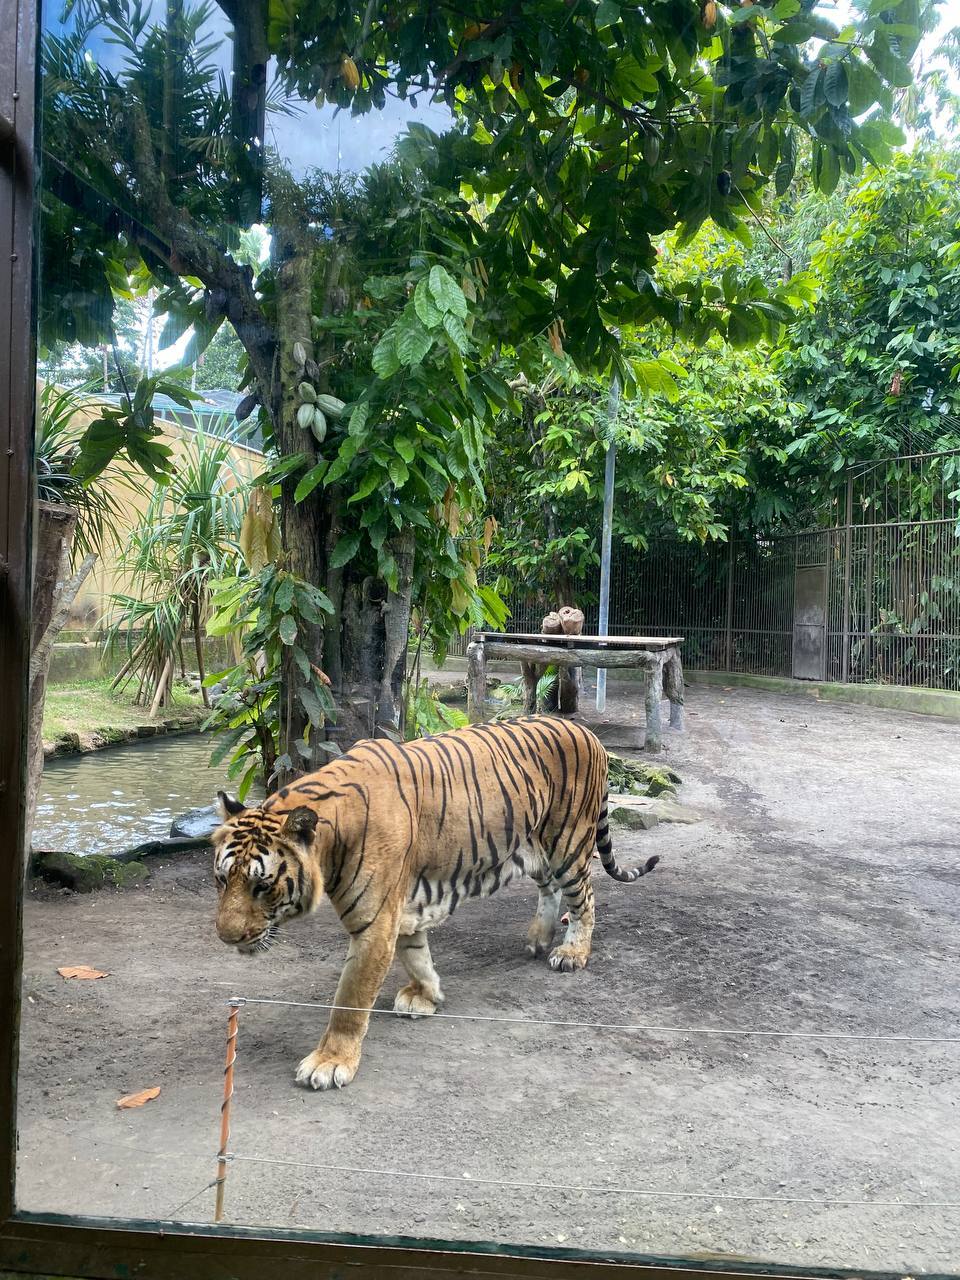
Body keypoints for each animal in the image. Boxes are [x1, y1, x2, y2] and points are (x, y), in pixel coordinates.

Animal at [209, 711, 660, 1090]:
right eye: (222, 879)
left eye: (262, 886)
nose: (226, 938)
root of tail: (588, 732)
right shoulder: (401, 910)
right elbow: (416, 956)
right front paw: (426, 995)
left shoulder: (375, 923)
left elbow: (350, 998)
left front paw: (330, 1062)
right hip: (533, 844)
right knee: (548, 888)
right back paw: (538, 937)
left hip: (568, 841)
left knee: (584, 898)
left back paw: (571, 952)